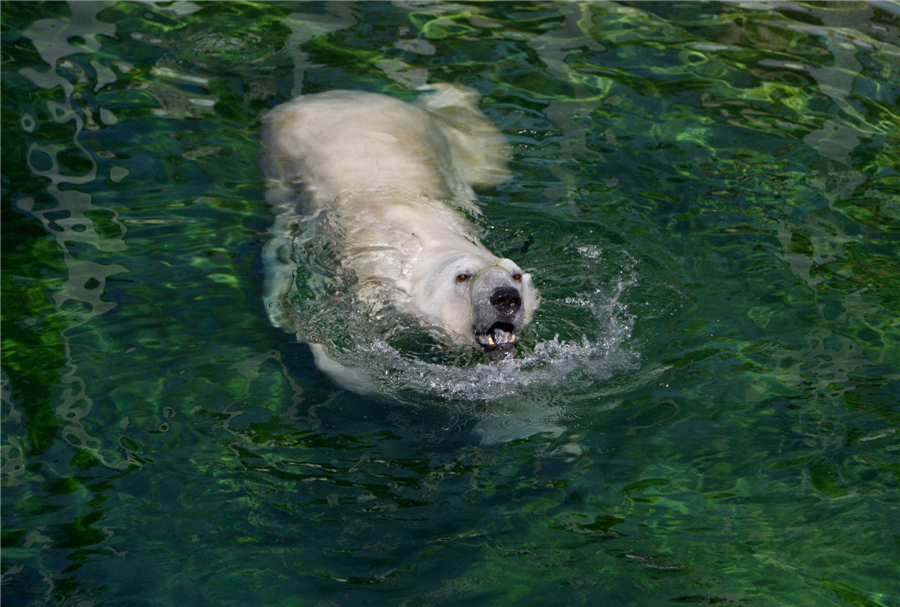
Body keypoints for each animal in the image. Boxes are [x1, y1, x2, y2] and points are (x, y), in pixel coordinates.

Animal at [264, 84, 536, 390]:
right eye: (462, 276)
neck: (427, 238)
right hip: (281, 159)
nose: (505, 298)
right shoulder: (368, 281)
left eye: (515, 275)